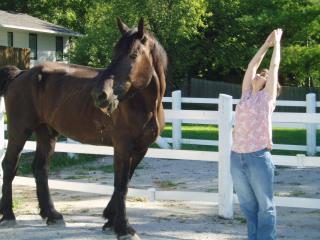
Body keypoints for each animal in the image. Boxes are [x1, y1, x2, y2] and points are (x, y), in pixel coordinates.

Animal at [0, 17, 166, 240]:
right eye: (114, 52)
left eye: (133, 54)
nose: (100, 95)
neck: (142, 104)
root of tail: (21, 74)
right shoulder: (122, 146)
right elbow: (121, 185)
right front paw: (124, 228)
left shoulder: (141, 149)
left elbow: (126, 181)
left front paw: (110, 219)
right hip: (20, 130)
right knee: (10, 165)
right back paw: (9, 215)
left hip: (47, 133)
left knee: (40, 169)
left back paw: (52, 215)